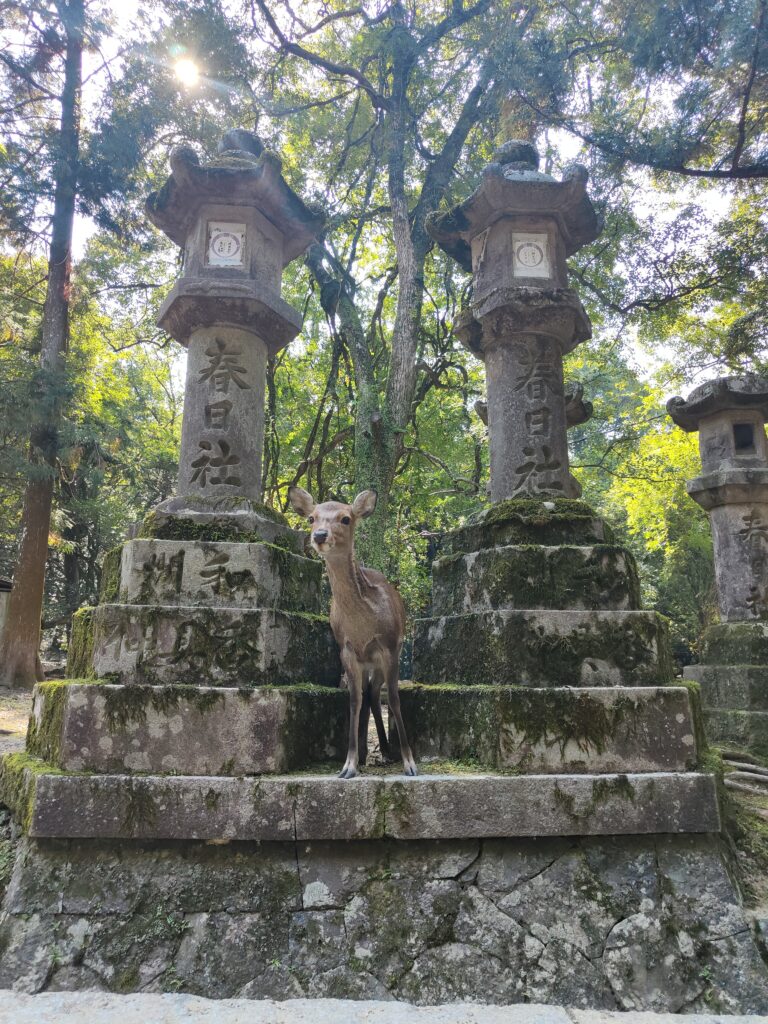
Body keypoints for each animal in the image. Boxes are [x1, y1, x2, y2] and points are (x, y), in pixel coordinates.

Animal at [290, 483, 421, 778]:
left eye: (346, 518)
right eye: (311, 518)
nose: (319, 535)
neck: (362, 627)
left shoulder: (389, 646)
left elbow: (394, 699)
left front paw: (410, 763)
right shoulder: (347, 649)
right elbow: (353, 701)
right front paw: (348, 765)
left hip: (384, 658)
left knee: (376, 693)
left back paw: (387, 752)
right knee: (368, 695)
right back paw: (369, 754)